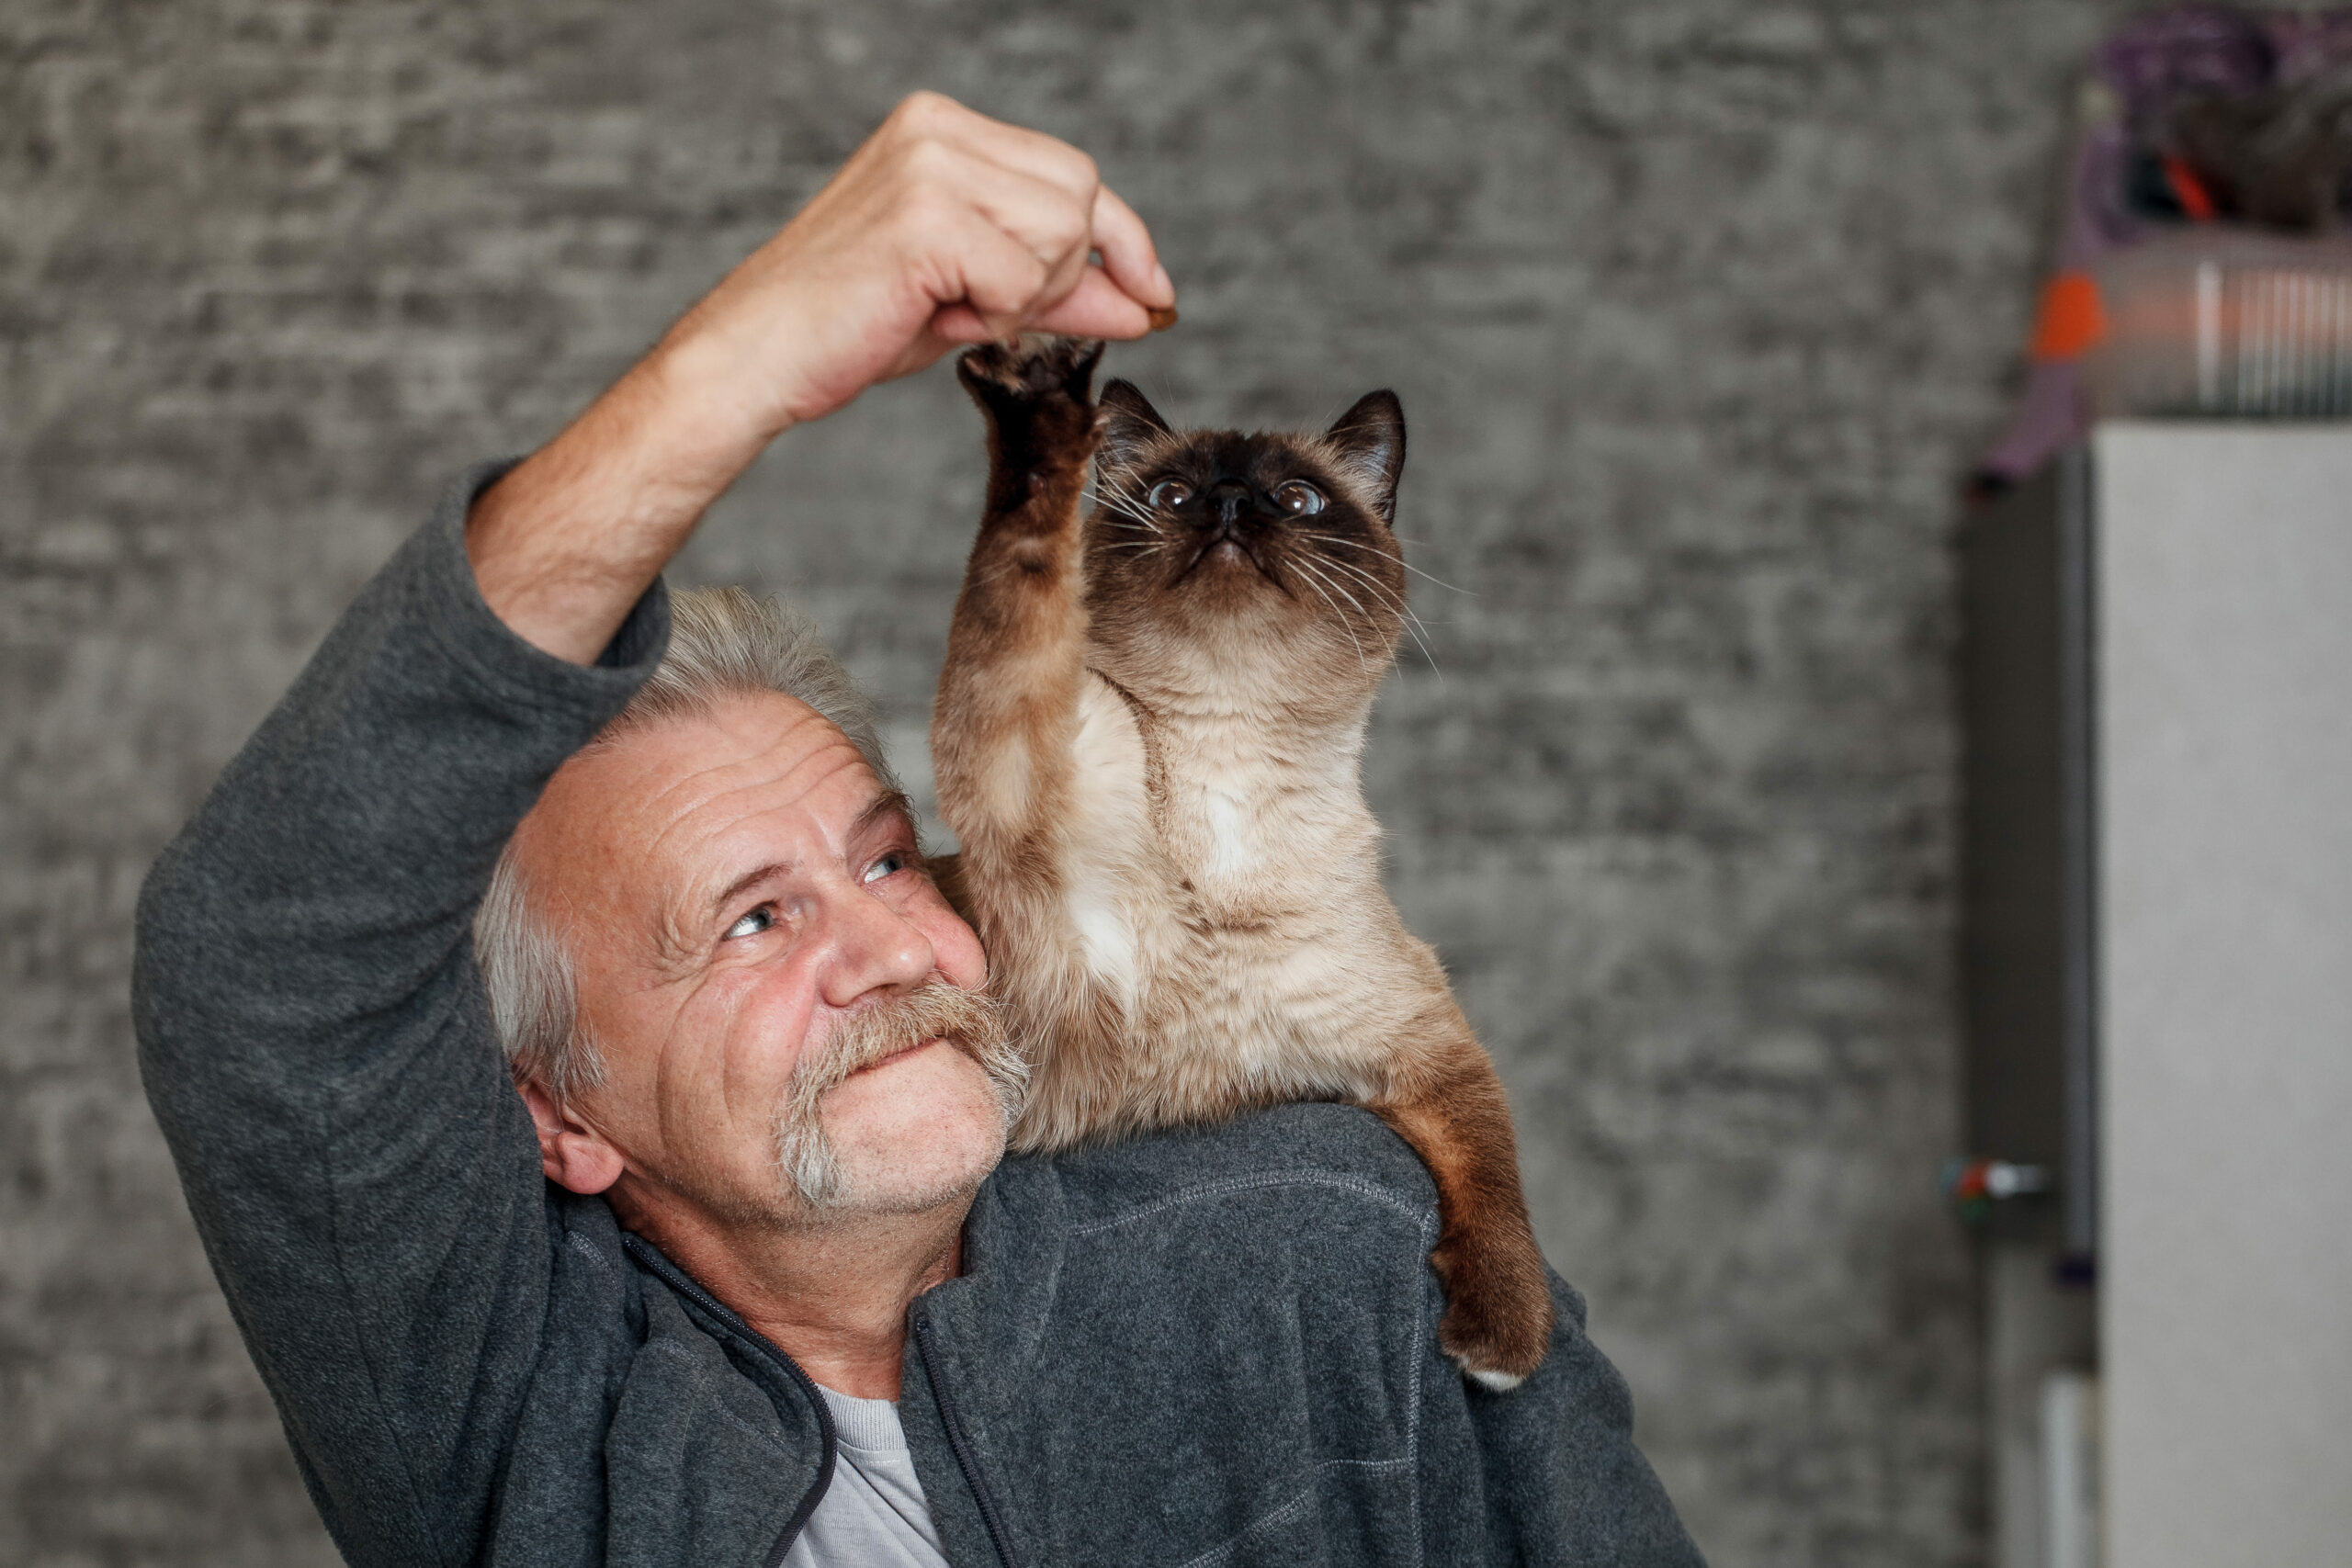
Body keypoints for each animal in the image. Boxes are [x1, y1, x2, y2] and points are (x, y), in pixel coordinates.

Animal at [926, 333, 1552, 1382]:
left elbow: (1496, 1180)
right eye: (1173, 494)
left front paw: (1501, 1344)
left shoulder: (1418, 1046)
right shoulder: (1015, 767)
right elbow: (1019, 580)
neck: (1231, 764)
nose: (1225, 504)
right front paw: (1038, 406)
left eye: (1295, 500)